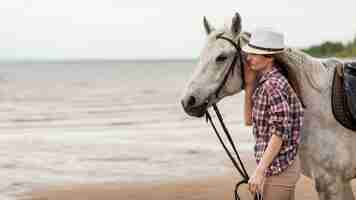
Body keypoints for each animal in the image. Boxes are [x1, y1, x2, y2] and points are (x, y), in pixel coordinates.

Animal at [182, 12, 356, 200]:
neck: (316, 105)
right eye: (201, 56)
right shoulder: (332, 183)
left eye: (221, 57)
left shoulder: (333, 182)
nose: (187, 101)